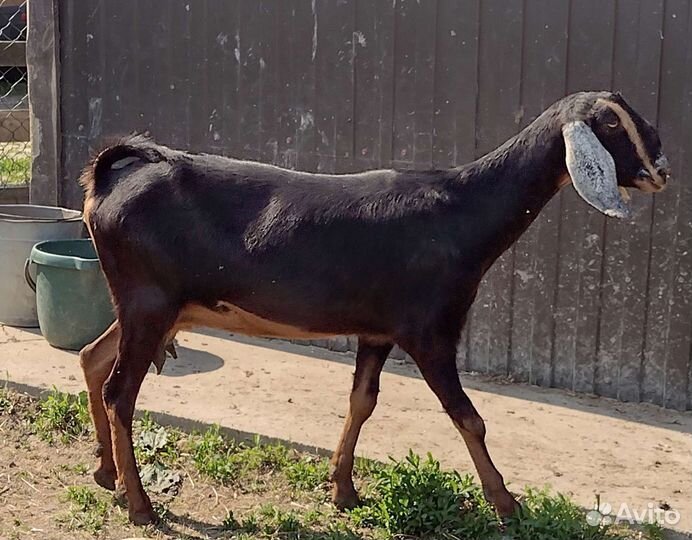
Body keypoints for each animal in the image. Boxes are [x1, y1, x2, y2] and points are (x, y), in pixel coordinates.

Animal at [79, 91, 669, 524]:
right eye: (609, 124)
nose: (661, 169)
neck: (463, 209)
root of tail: (109, 180)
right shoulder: (430, 331)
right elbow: (468, 417)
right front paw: (507, 505)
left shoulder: (379, 331)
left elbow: (361, 402)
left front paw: (343, 490)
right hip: (150, 302)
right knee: (119, 392)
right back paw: (140, 506)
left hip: (149, 307)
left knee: (92, 357)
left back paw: (107, 474)